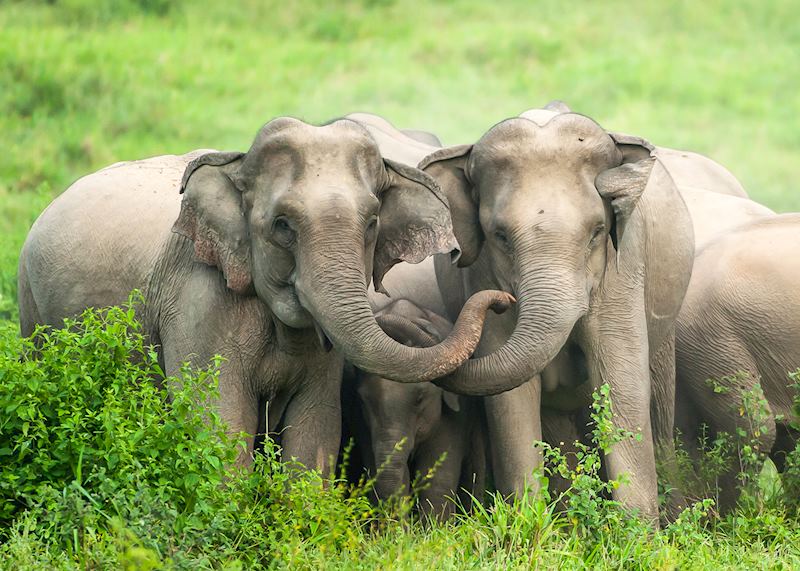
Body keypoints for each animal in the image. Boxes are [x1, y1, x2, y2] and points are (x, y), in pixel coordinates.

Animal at [20, 116, 520, 474]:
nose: (503, 300)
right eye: (282, 226)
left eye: (373, 223)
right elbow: (218, 422)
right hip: (29, 306)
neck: (236, 164)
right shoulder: (197, 300)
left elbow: (315, 429)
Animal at [342, 298, 484, 520]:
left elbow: (437, 477)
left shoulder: (456, 412)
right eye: (364, 400)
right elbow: (381, 469)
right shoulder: (359, 418)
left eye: (420, 398)